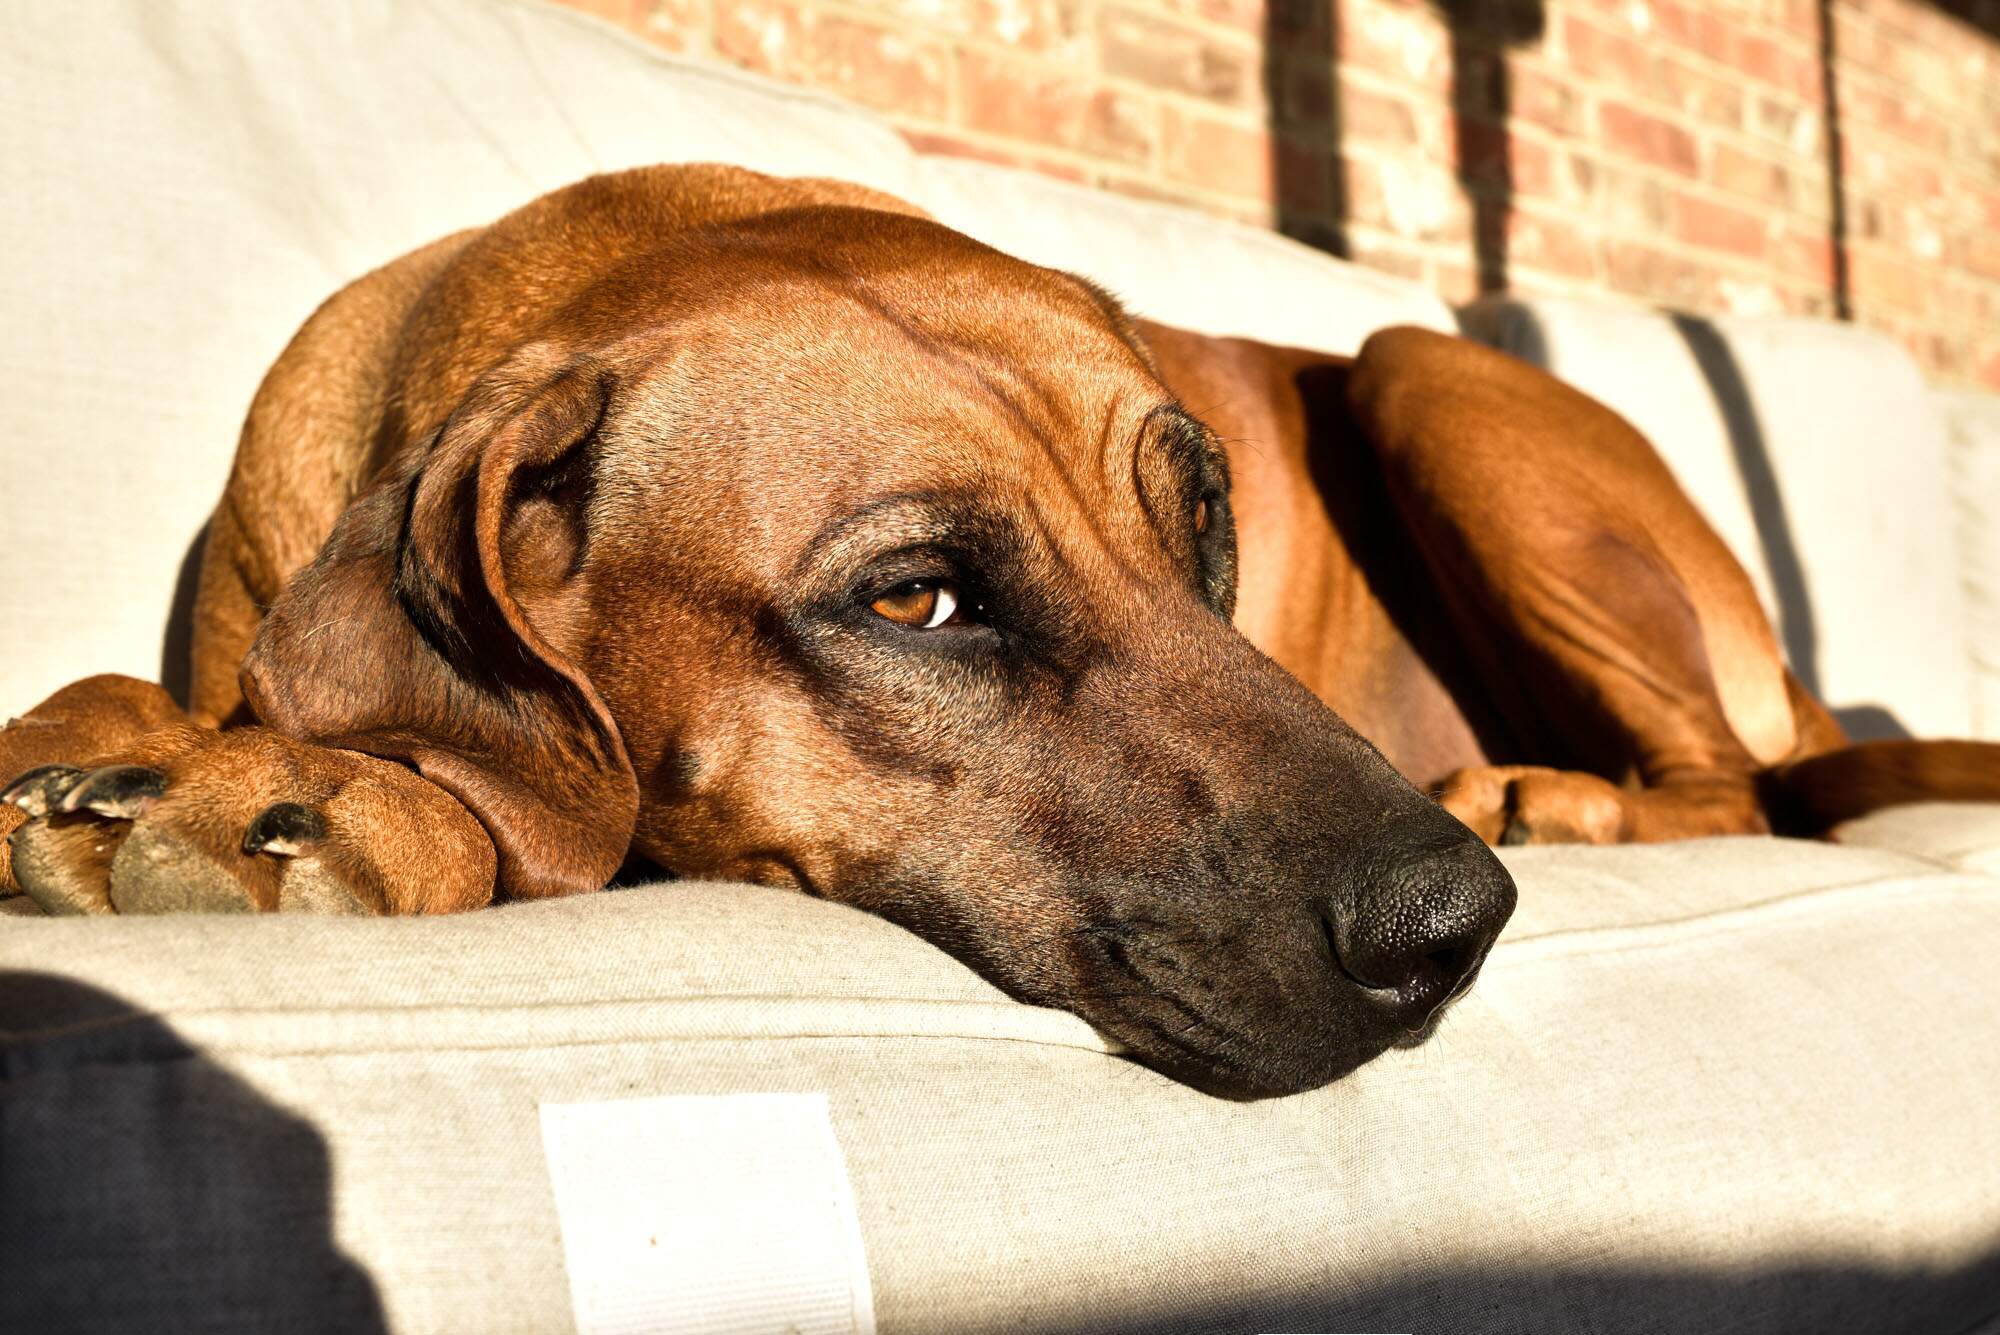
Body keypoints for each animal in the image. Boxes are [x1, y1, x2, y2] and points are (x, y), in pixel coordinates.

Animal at [3, 161, 2000, 1087]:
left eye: (1208, 543)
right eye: (917, 599)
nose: (1454, 929)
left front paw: (336, 797)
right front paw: (102, 749)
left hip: (1423, 367)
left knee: (1731, 780)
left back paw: (1563, 794)